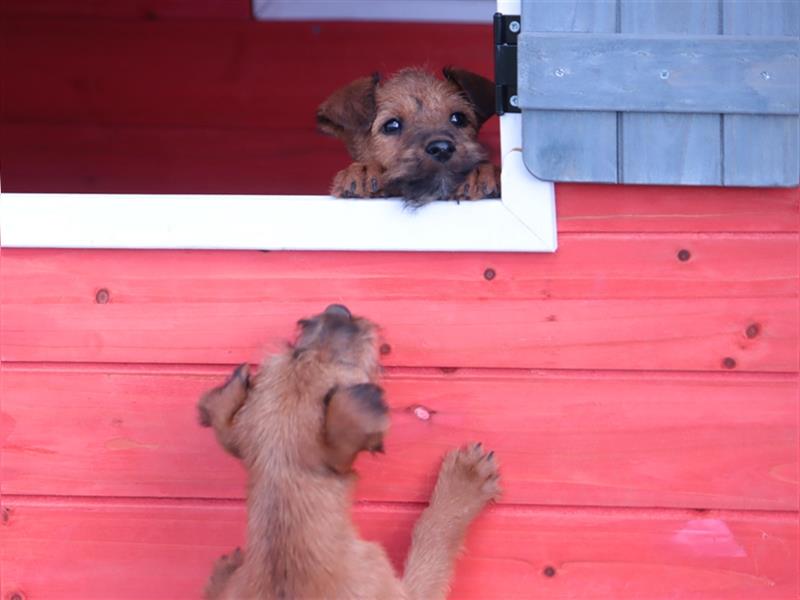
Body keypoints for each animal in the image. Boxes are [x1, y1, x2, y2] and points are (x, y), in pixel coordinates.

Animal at [198, 308, 500, 596]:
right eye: (345, 367)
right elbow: (432, 536)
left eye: (294, 351)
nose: (337, 310)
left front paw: (221, 576)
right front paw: (464, 482)